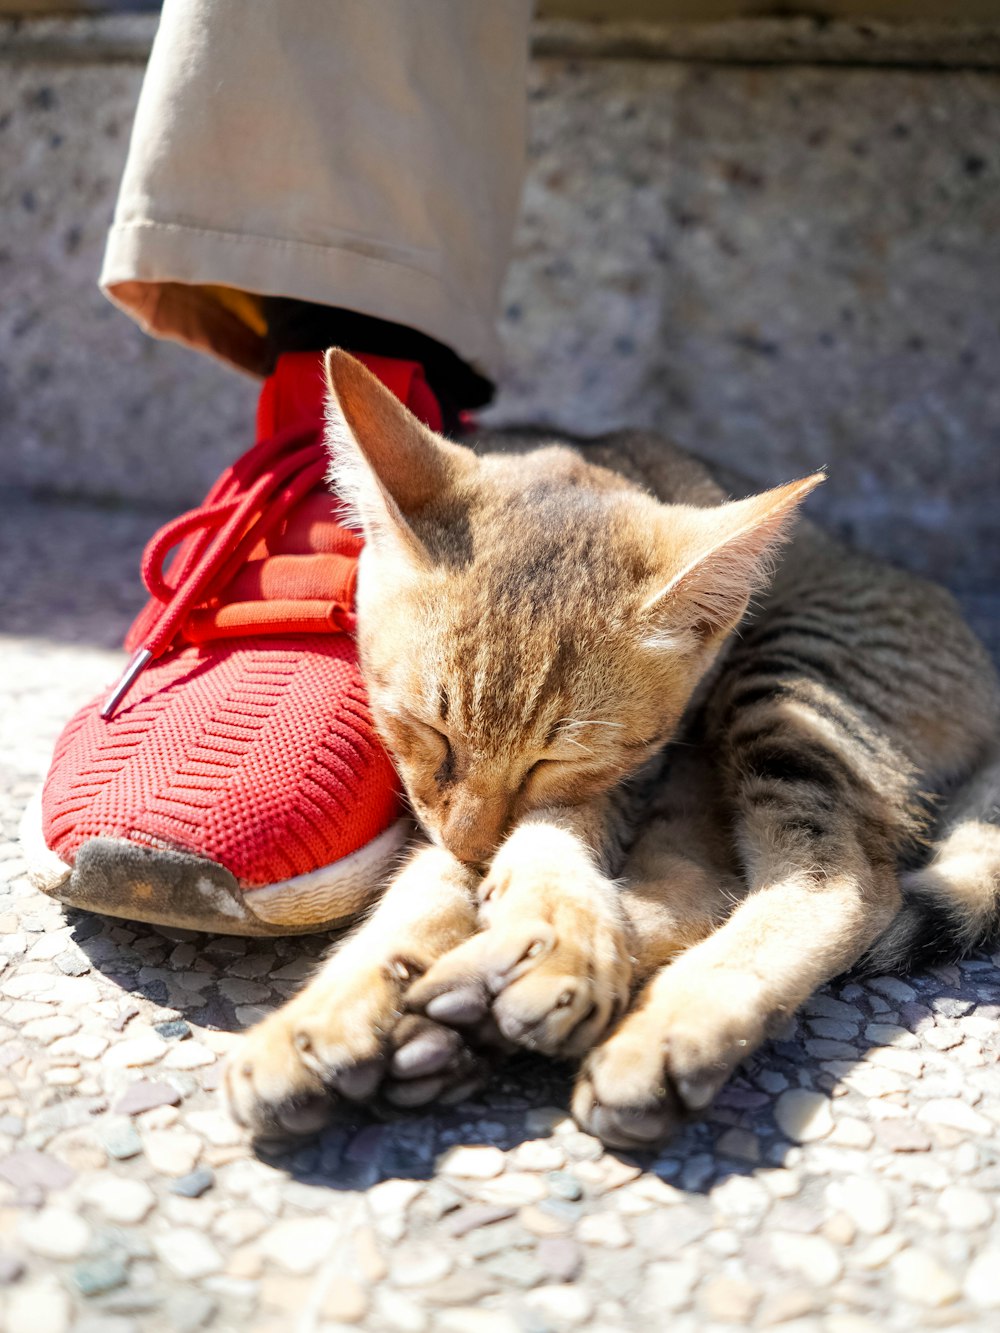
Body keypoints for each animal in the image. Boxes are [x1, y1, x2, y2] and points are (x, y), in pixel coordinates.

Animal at [225, 349, 1000, 1151]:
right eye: (428, 730)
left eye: (554, 760)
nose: (474, 845)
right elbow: (427, 889)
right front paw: (332, 1012)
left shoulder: (625, 772)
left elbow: (541, 838)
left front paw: (552, 927)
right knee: (696, 889)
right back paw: (471, 1012)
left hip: (791, 686)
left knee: (840, 883)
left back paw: (648, 1028)